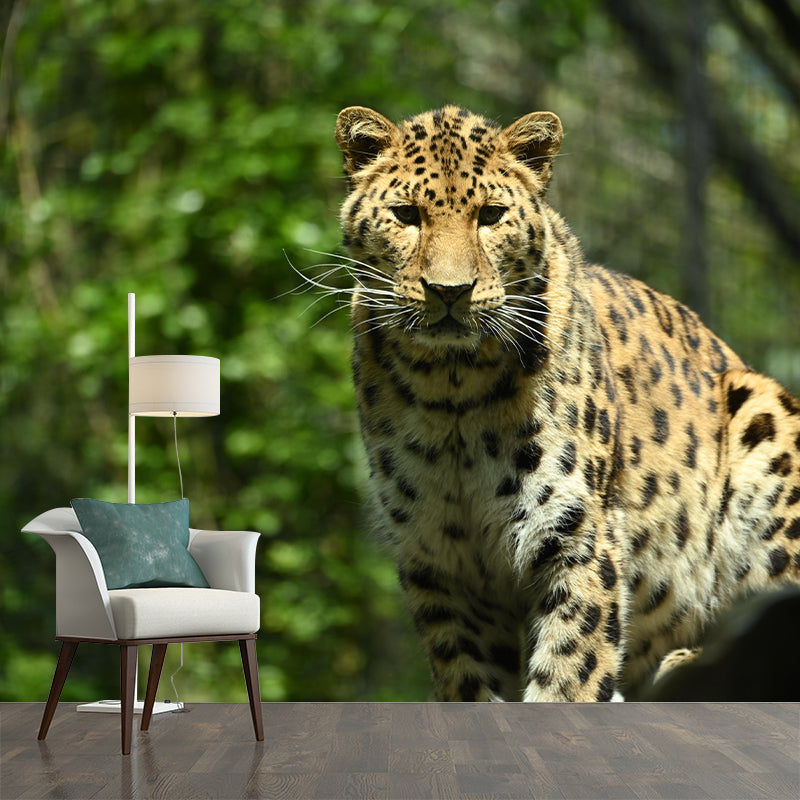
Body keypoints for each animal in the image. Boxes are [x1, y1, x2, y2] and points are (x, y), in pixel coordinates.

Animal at [332, 104, 800, 702]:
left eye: (491, 216)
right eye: (406, 215)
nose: (450, 291)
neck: (451, 387)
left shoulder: (579, 536)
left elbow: (570, 670)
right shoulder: (439, 560)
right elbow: (467, 681)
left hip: (763, 407)